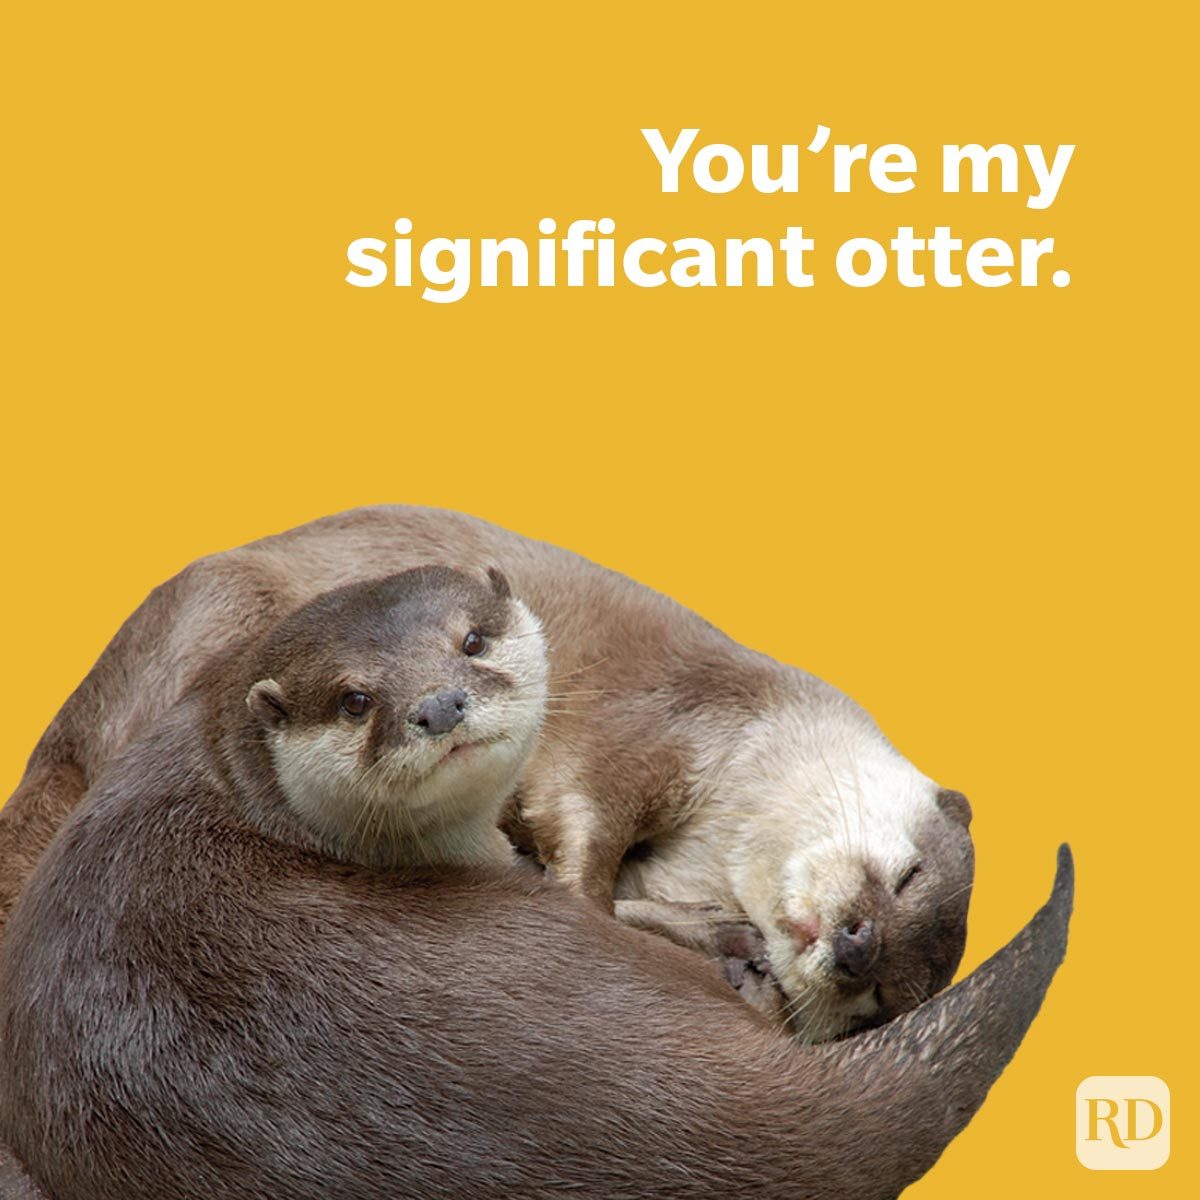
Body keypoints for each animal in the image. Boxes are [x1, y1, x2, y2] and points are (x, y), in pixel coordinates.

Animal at [1, 507, 971, 1041]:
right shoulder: (643, 730)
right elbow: (584, 856)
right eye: (905, 872)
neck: (734, 740)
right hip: (225, 610)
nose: (858, 948)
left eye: (879, 1001)